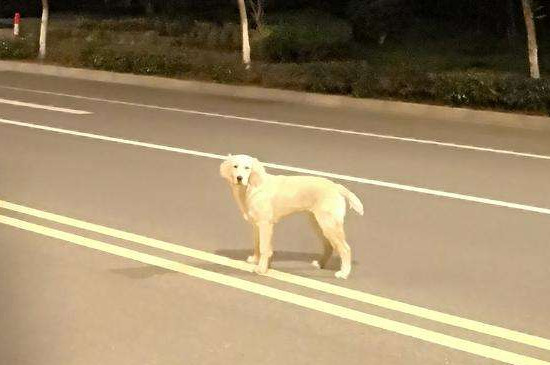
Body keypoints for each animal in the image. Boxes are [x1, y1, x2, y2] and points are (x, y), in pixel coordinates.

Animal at [220, 152, 366, 278]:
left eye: (247, 168)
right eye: (235, 166)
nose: (239, 178)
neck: (252, 187)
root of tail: (336, 186)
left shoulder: (265, 224)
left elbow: (264, 248)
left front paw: (261, 269)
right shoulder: (257, 225)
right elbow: (257, 245)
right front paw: (256, 260)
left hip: (329, 225)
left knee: (345, 249)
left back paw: (344, 273)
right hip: (318, 224)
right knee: (329, 246)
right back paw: (320, 264)